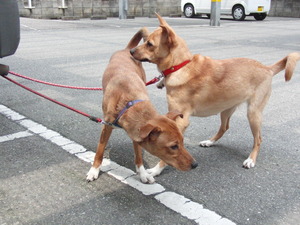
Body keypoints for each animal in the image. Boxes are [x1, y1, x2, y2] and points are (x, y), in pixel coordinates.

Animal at [86, 27, 197, 183]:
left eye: (182, 141)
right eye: (174, 146)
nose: (195, 164)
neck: (129, 103)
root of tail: (127, 49)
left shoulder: (136, 134)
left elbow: (138, 156)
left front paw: (143, 173)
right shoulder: (106, 126)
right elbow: (100, 151)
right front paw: (94, 170)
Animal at [129, 14, 300, 173]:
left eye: (149, 44)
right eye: (145, 41)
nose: (130, 51)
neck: (181, 65)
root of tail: (267, 68)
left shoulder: (181, 121)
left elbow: (168, 153)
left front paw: (157, 170)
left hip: (253, 114)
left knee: (258, 139)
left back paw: (251, 159)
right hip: (226, 110)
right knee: (224, 127)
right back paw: (210, 142)